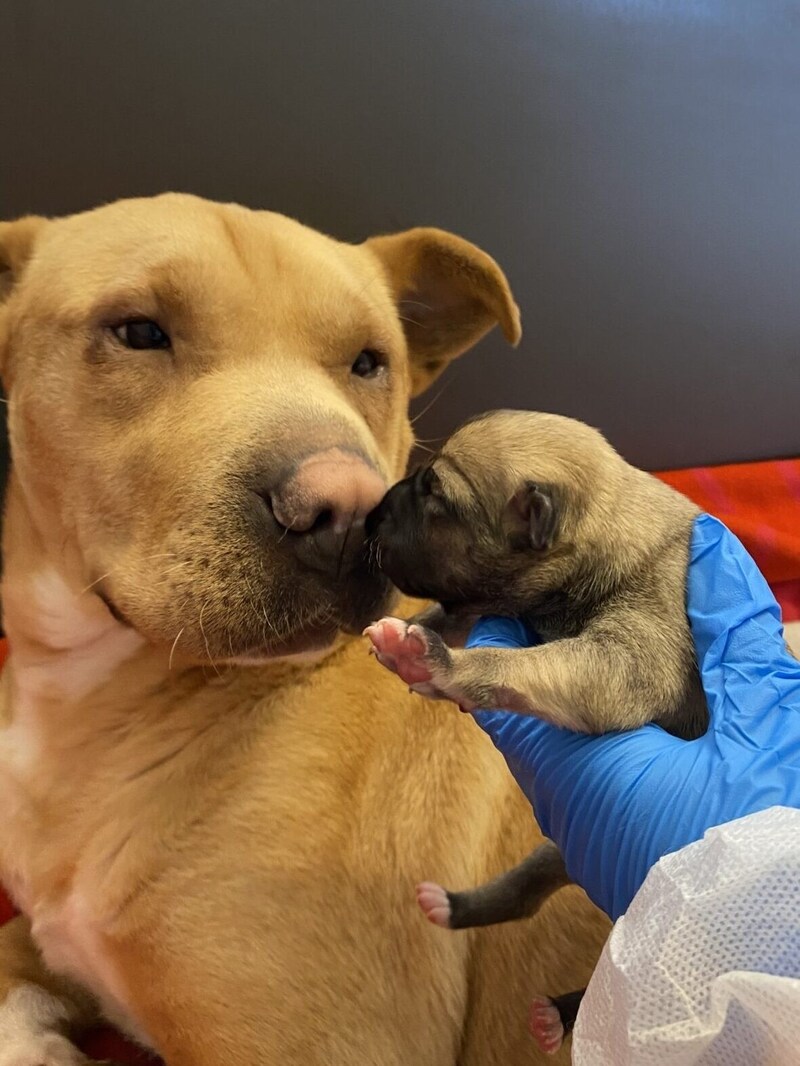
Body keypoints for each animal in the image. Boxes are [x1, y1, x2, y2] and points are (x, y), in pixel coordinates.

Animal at [362, 411, 708, 1053]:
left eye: (436, 495)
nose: (369, 514)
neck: (606, 524)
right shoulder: (494, 604)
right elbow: (459, 612)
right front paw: (408, 641)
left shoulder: (635, 650)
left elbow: (523, 661)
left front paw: (442, 665)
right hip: (566, 849)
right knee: (523, 894)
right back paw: (454, 910)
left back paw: (563, 1013)